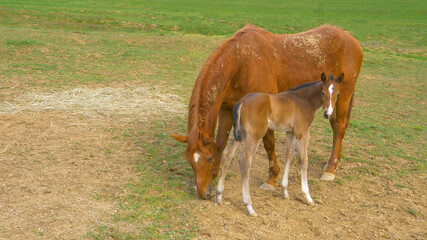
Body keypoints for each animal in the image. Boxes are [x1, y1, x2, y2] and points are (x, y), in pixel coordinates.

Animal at [171, 23, 364, 199]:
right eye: (189, 160)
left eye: (209, 159)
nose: (203, 193)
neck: (240, 63)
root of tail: (351, 38)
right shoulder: (226, 109)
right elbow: (221, 142)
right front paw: (215, 177)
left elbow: (269, 143)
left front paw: (271, 179)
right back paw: (334, 162)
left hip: (342, 96)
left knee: (339, 127)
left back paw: (330, 169)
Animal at [217, 72, 344, 216]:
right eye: (323, 92)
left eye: (338, 94)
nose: (328, 114)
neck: (303, 101)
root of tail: (242, 101)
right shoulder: (302, 132)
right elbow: (303, 160)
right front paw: (308, 197)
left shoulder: (290, 132)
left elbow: (290, 156)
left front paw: (284, 191)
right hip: (255, 135)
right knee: (244, 160)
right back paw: (249, 206)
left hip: (241, 133)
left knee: (227, 154)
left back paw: (219, 196)